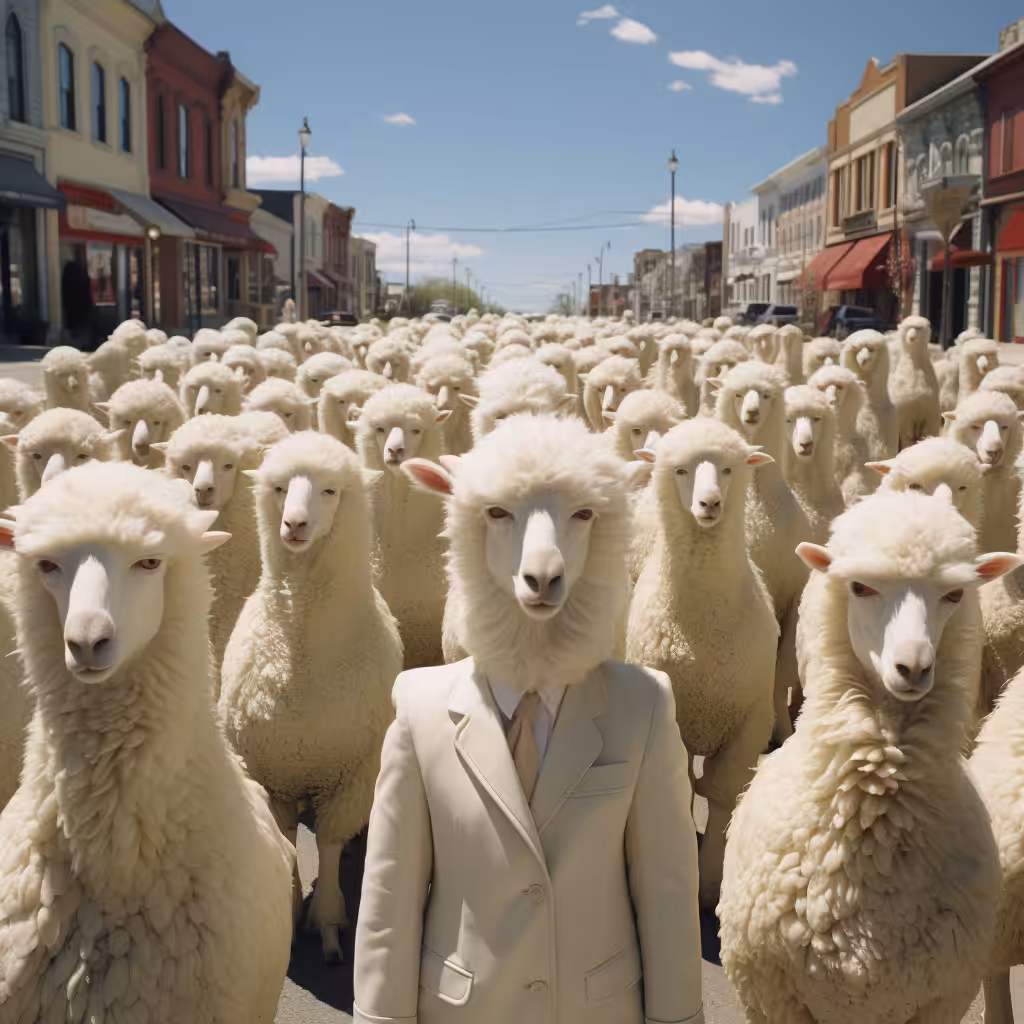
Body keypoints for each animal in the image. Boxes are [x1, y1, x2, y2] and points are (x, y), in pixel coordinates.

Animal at [221, 432, 401, 963]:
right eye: (280, 487)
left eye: (330, 491)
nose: (294, 524)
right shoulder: (272, 772)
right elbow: (285, 835)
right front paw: (291, 903)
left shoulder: (352, 776)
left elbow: (329, 842)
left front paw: (327, 919)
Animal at [625, 418, 777, 908]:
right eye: (681, 471)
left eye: (728, 469)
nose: (709, 503)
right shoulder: (672, 716)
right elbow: (683, 789)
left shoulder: (752, 720)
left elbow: (723, 792)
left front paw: (711, 882)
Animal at [716, 360, 811, 741]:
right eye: (738, 393)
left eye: (767, 394)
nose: (752, 413)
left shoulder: (792, 597)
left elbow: (779, 671)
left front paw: (782, 729)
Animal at [890, 315, 941, 450]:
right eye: (907, 327)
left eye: (918, 328)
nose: (912, 337)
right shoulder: (905, 413)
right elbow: (907, 436)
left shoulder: (930, 412)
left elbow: (927, 432)